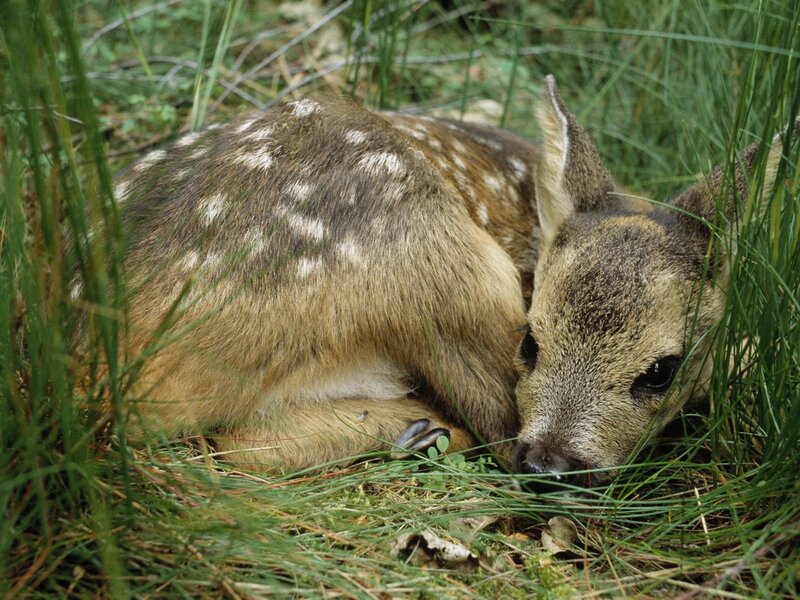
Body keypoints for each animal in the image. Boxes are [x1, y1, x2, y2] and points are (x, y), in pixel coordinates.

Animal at [103, 76, 792, 483]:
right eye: (530, 341)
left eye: (661, 370)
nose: (549, 464)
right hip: (437, 251)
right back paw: (424, 430)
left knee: (236, 442)